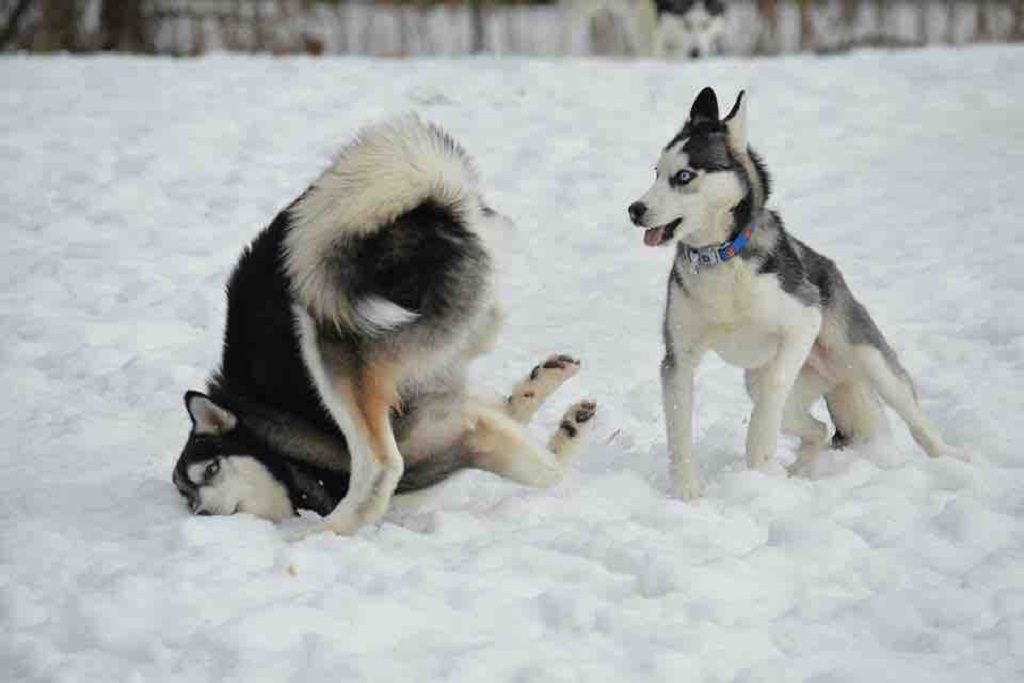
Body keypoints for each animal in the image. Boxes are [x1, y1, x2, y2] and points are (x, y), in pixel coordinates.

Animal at [626, 88, 954, 499]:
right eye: (656, 172)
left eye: (683, 176)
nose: (634, 209)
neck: (722, 258)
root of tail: (838, 375)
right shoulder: (678, 359)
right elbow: (679, 431)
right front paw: (686, 492)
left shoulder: (804, 320)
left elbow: (772, 392)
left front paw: (758, 455)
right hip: (778, 390)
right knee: (818, 429)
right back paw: (799, 470)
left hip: (869, 360)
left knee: (917, 421)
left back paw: (954, 459)